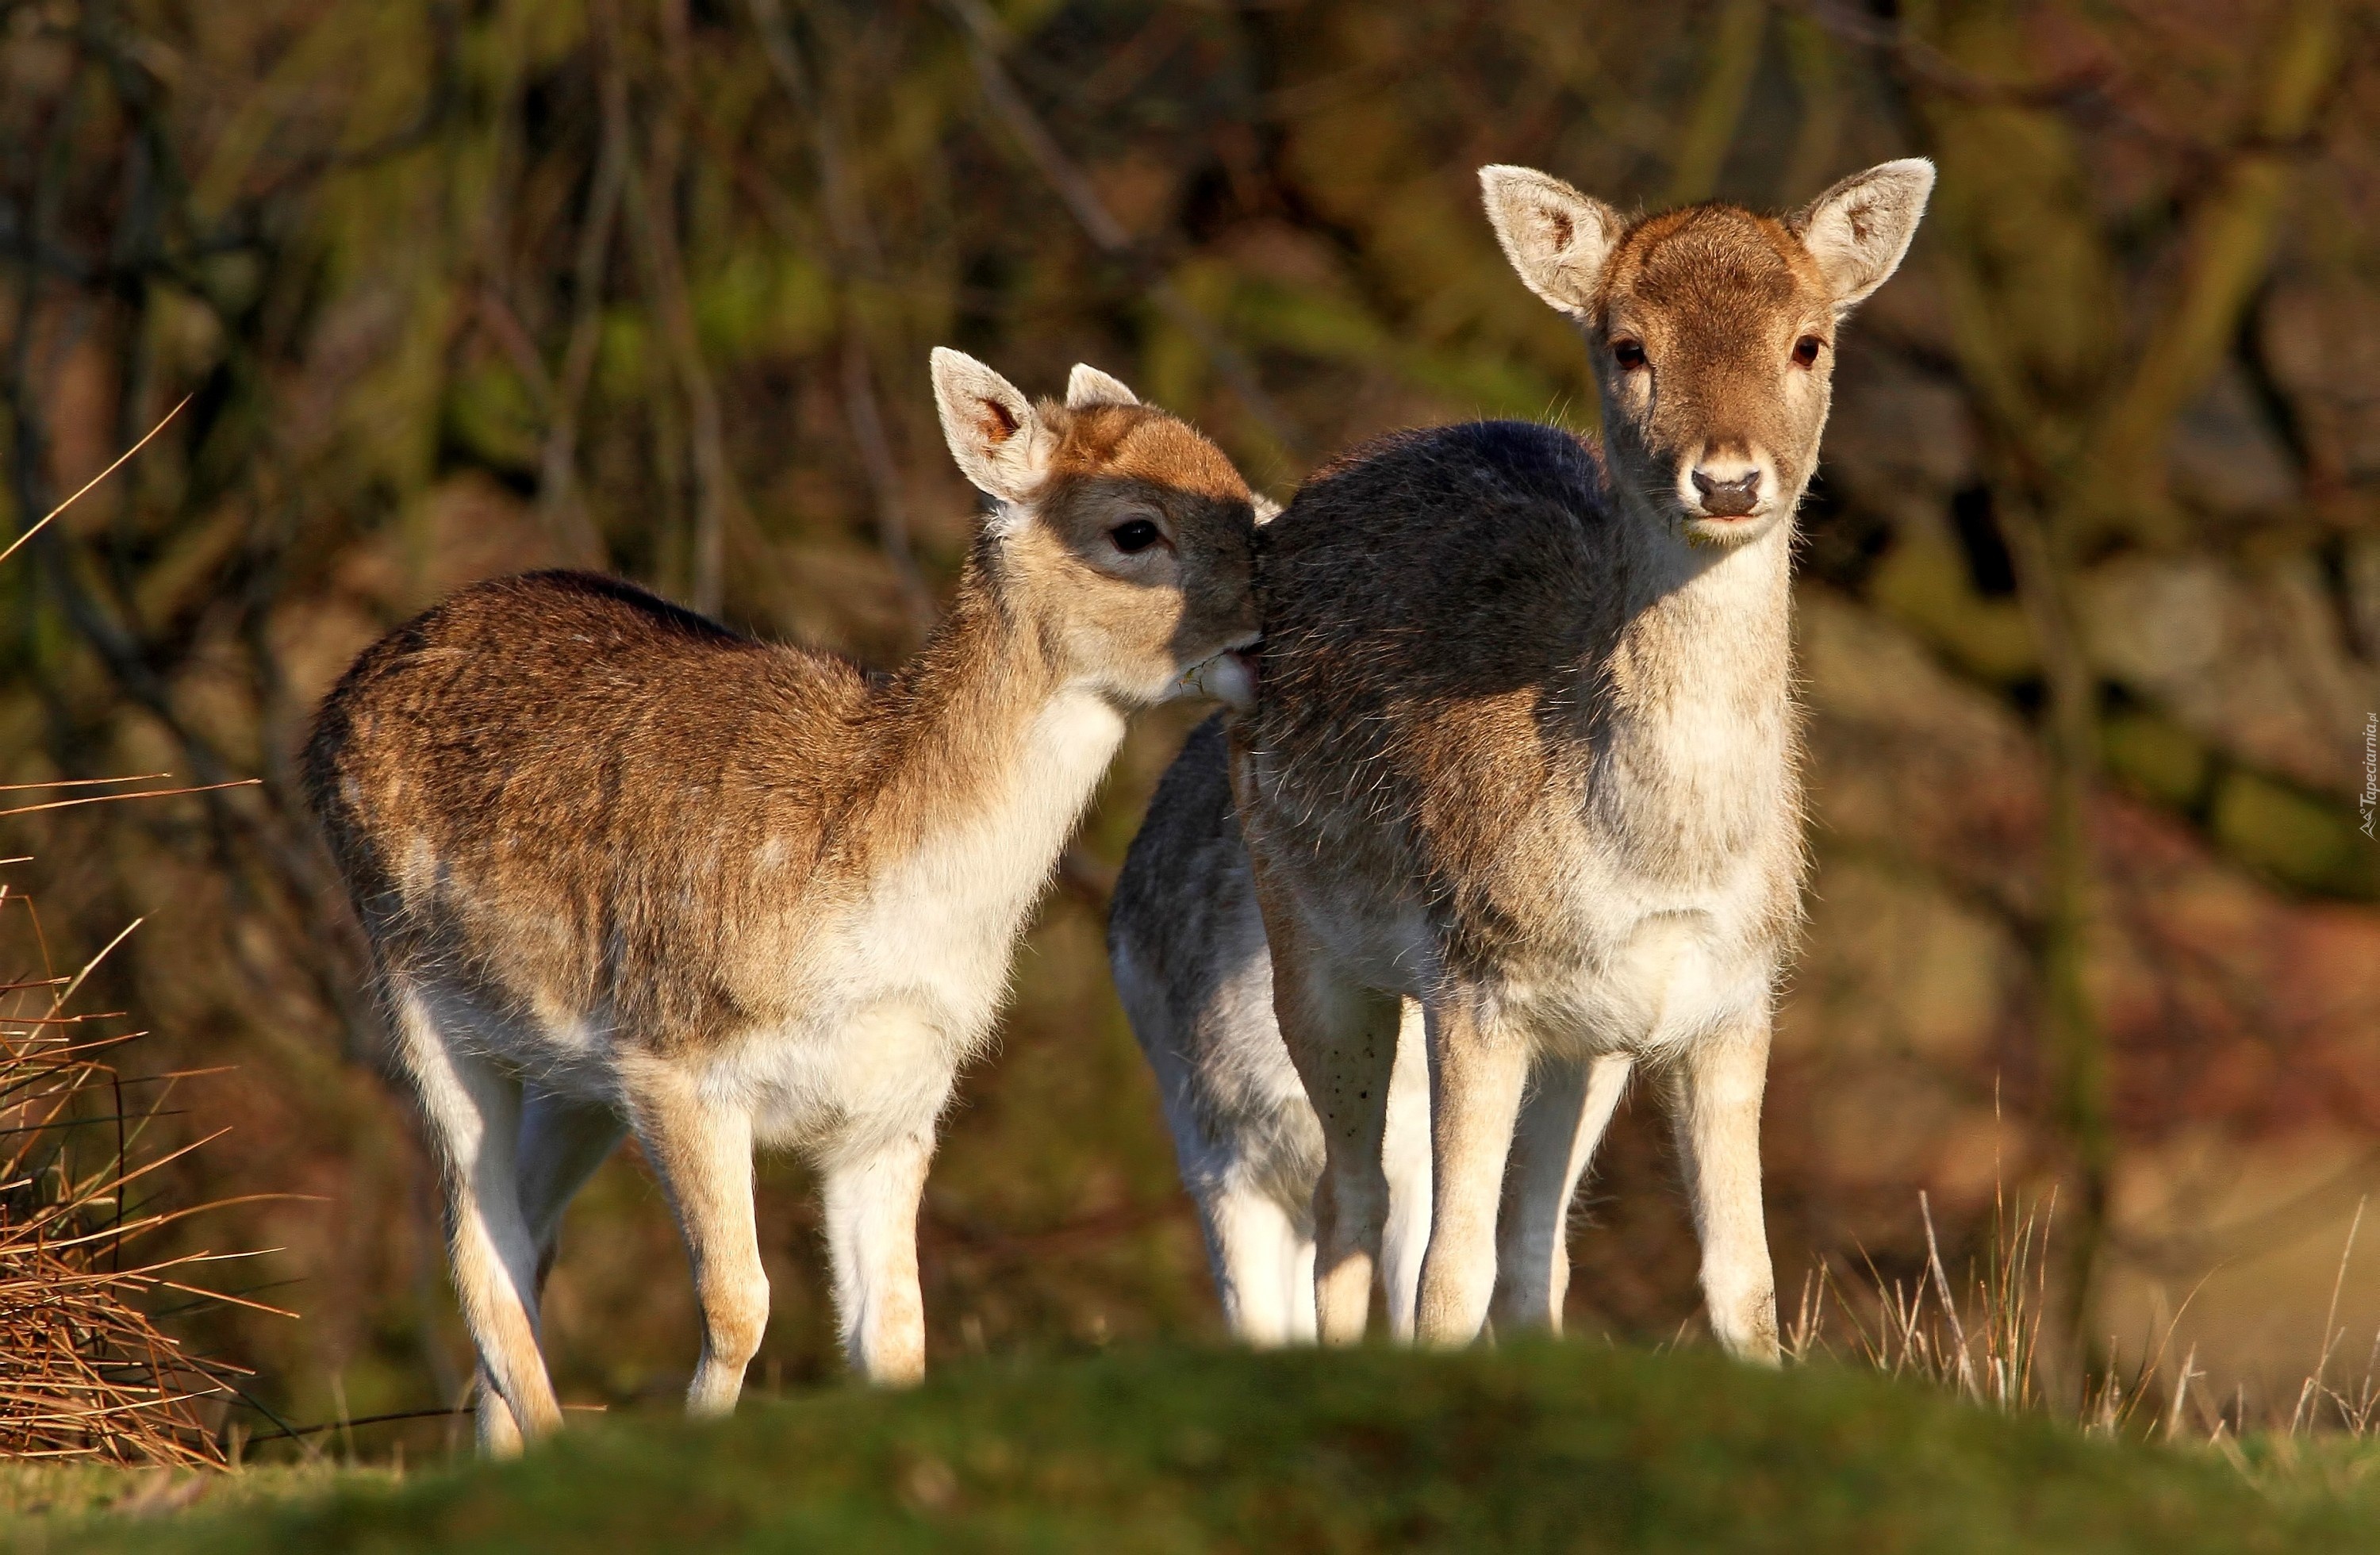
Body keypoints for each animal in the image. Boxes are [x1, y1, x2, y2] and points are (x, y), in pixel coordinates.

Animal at [305, 347, 1266, 1447]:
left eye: (1245, 493)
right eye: (1136, 529)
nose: (1275, 606)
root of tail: (329, 710)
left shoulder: (898, 1102)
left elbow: (897, 1337)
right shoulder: (674, 1058)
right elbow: (739, 1302)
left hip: (567, 1075)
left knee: (527, 1240)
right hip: (412, 983)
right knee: (474, 1245)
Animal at [1114, 155, 1933, 1342]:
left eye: (1810, 342)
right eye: (1629, 345)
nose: (1729, 480)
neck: (1656, 862)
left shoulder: (1735, 993)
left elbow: (1745, 1279)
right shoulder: (1476, 982)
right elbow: (1445, 1273)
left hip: (1584, 1048)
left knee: (1533, 1246)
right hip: (1308, 947)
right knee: (1353, 1200)